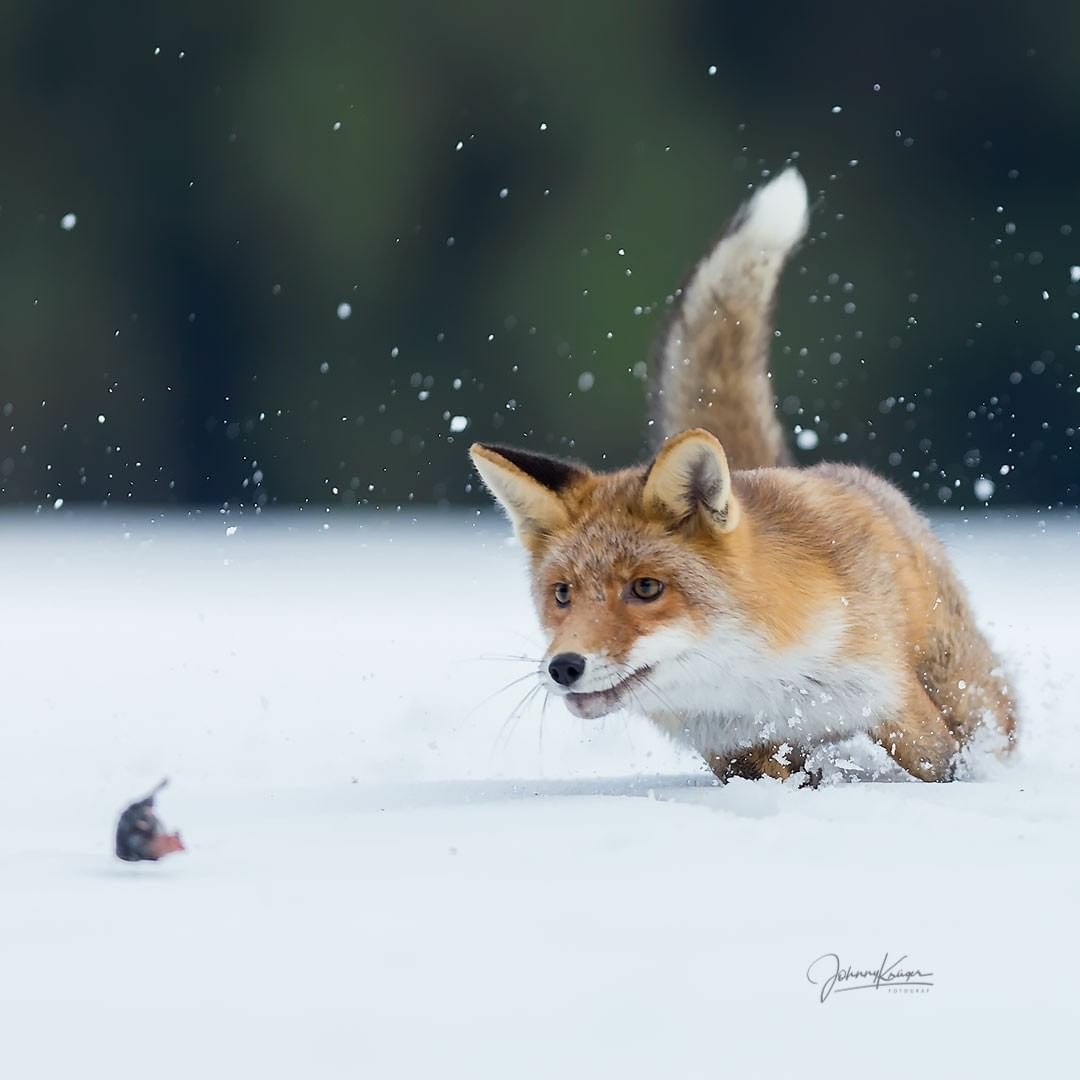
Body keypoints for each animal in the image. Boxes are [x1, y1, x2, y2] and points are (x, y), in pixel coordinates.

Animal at [468, 174, 1015, 786]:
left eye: (646, 589)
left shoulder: (888, 698)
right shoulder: (736, 750)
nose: (564, 666)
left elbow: (937, 761)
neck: (752, 684)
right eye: (561, 595)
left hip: (960, 679)